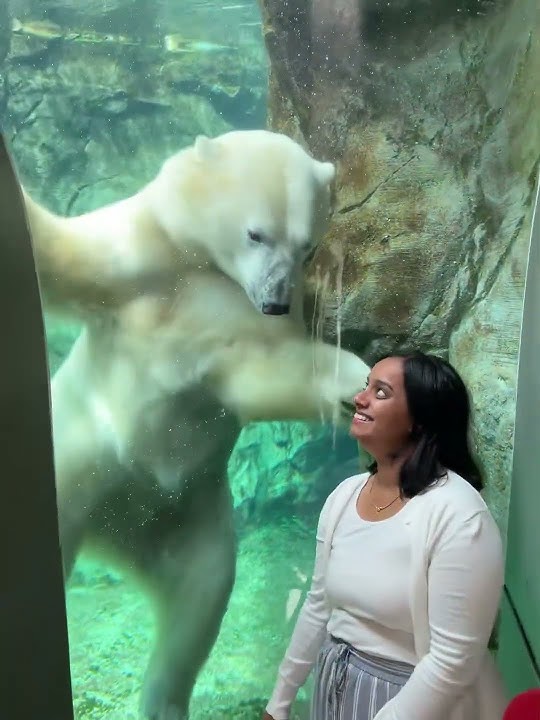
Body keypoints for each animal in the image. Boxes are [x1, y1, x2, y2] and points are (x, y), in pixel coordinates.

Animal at [21, 129, 370, 720]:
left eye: (307, 246)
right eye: (256, 233)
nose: (274, 300)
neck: (200, 269)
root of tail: (117, 532)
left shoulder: (236, 321)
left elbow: (270, 373)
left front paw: (363, 382)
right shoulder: (139, 259)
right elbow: (64, 255)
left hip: (191, 519)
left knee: (198, 600)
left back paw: (165, 700)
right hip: (77, 467)